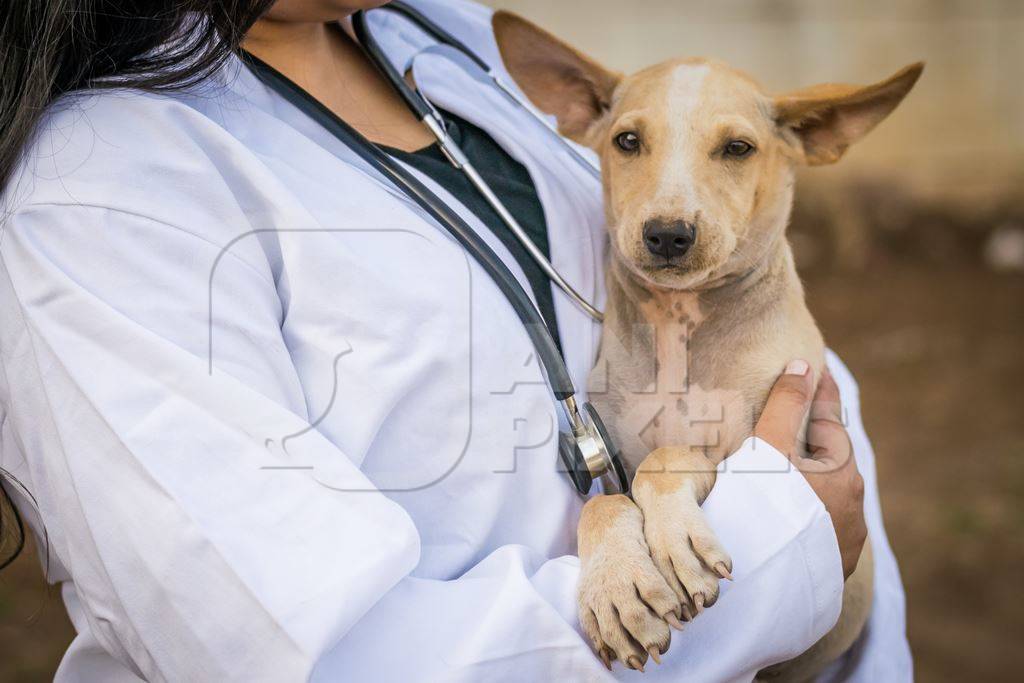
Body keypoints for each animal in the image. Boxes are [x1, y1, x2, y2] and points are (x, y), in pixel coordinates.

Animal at [491, 7, 925, 679]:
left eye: (738, 148)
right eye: (627, 141)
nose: (668, 234)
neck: (681, 327)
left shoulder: (760, 443)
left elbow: (670, 458)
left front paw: (675, 543)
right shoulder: (611, 464)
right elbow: (601, 504)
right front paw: (616, 586)